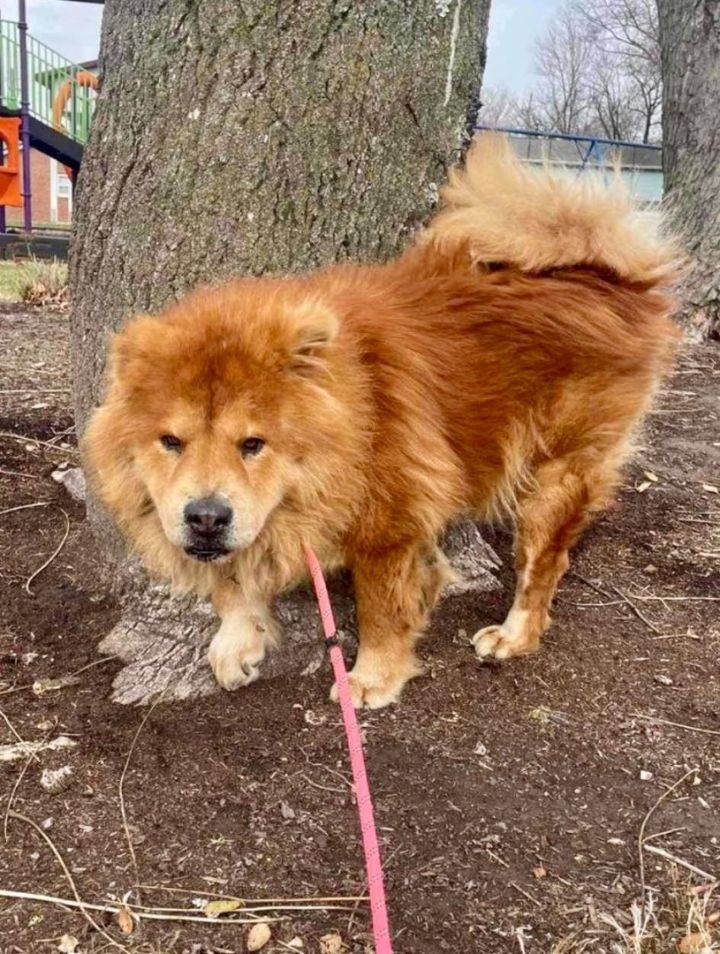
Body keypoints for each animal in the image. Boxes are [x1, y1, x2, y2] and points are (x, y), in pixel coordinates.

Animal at [84, 134, 680, 708]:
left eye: (253, 444)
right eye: (171, 441)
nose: (206, 515)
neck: (353, 415)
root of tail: (607, 275)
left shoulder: (388, 526)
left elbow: (380, 610)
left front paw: (371, 679)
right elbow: (236, 577)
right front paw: (236, 641)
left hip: (558, 471)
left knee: (543, 564)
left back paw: (512, 635)